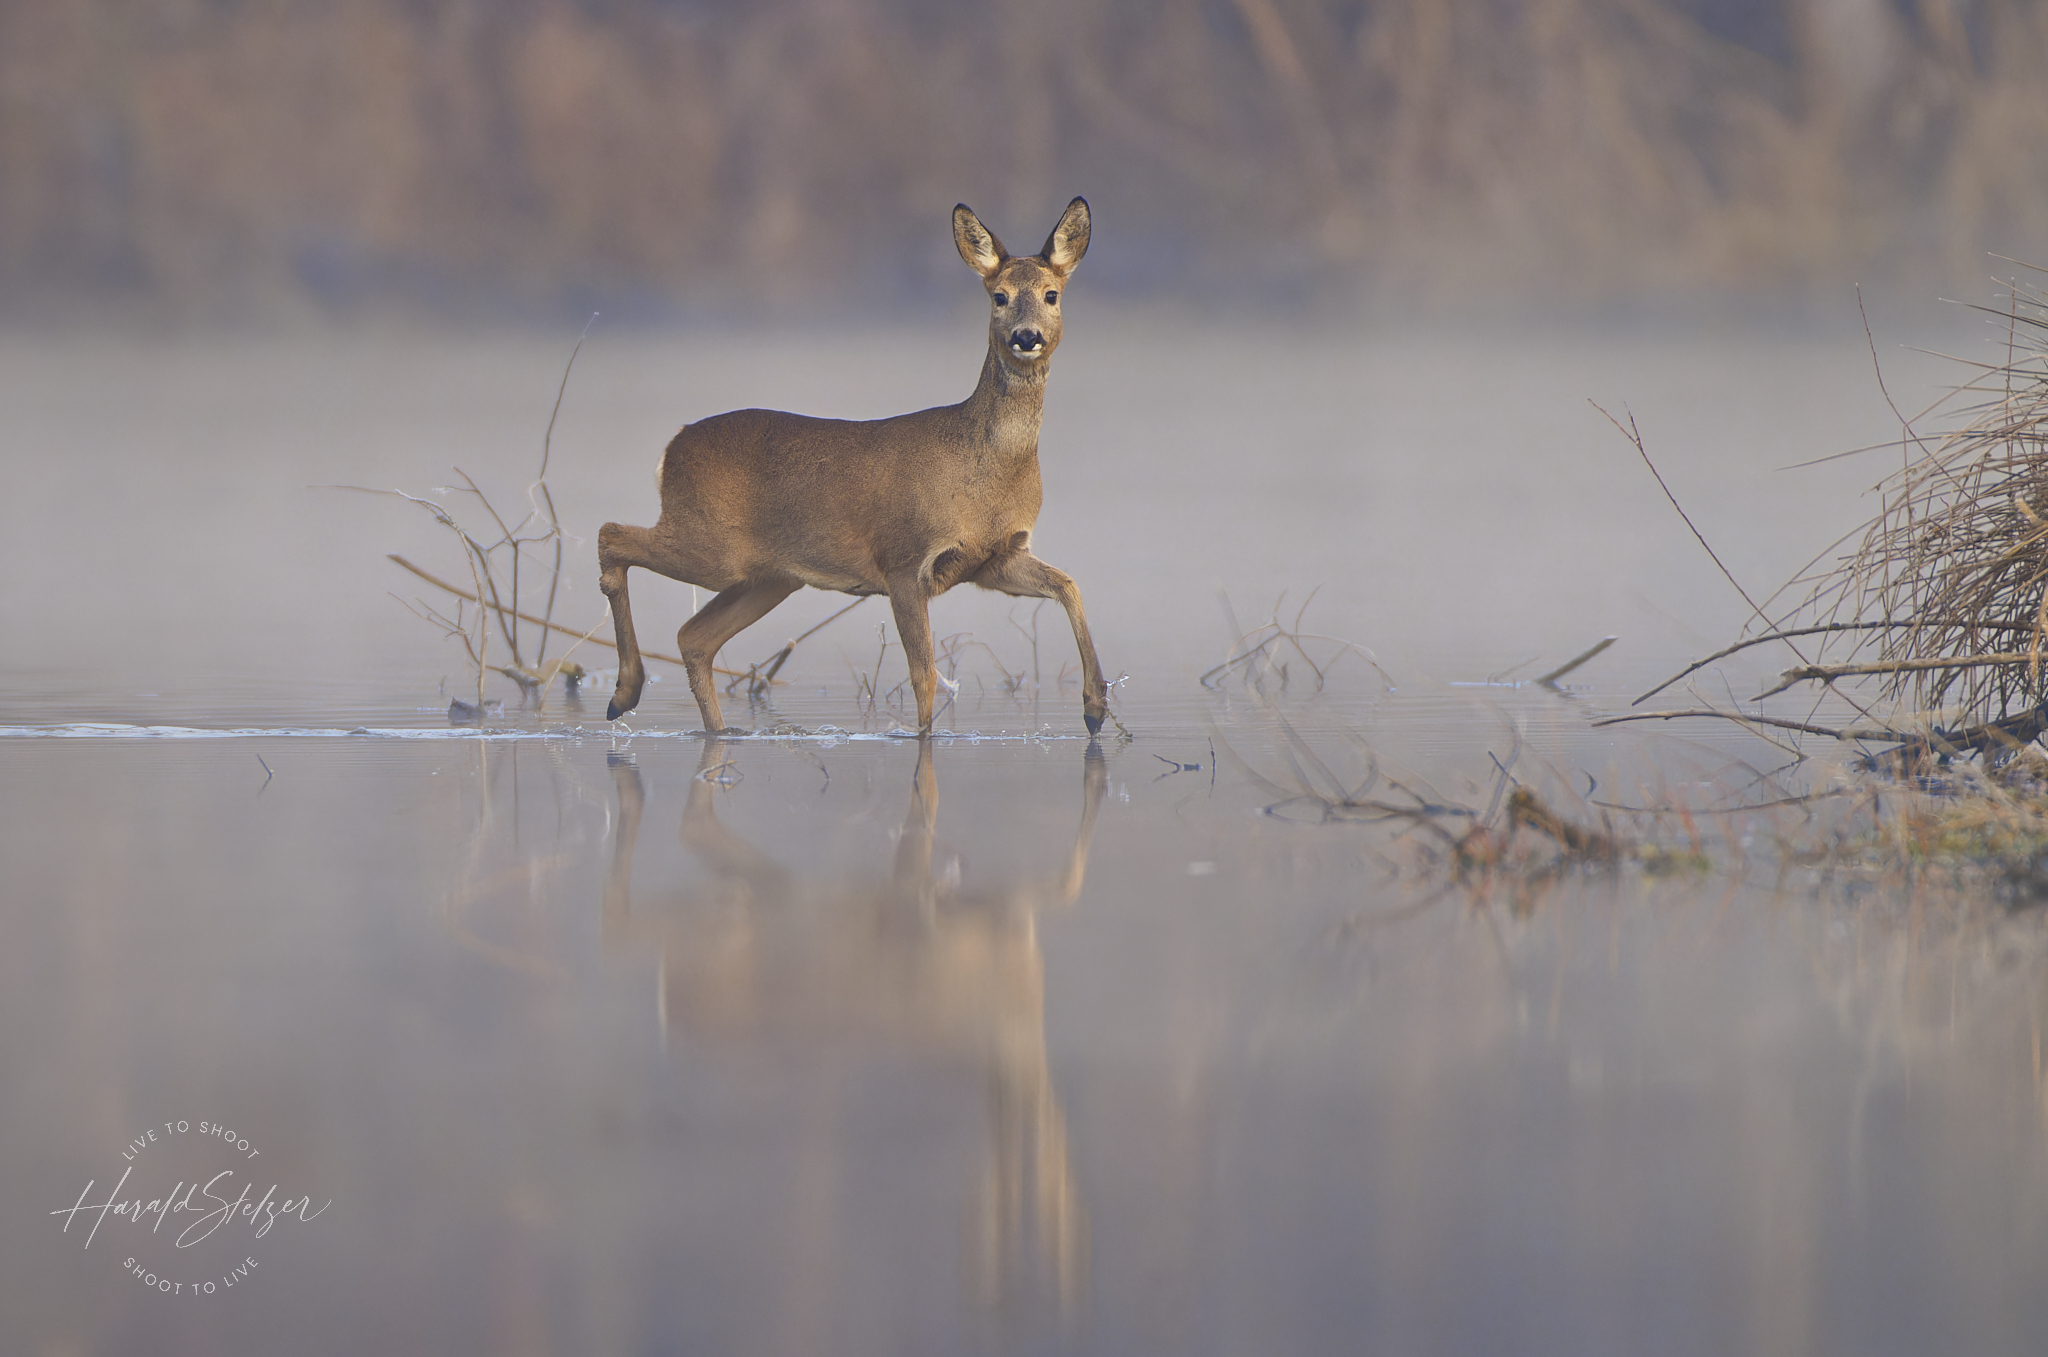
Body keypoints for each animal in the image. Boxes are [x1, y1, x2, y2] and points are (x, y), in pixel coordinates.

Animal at [598, 193, 1105, 732]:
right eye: (999, 296)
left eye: (1052, 294)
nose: (1026, 337)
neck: (987, 468)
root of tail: (672, 447)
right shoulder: (904, 559)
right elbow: (924, 678)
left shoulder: (996, 559)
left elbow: (1069, 584)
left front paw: (1096, 707)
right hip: (712, 545)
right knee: (612, 536)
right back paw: (624, 692)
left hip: (769, 577)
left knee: (693, 637)